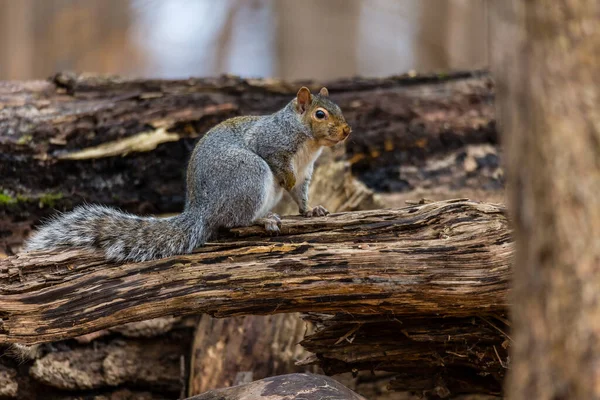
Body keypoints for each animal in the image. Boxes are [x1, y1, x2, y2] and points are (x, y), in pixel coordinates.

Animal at [23, 85, 352, 262]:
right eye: (320, 114)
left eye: (338, 107)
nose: (348, 131)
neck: (308, 144)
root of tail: (200, 210)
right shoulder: (271, 145)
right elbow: (280, 167)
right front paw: (287, 183)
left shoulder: (306, 170)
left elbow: (301, 193)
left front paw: (312, 210)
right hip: (248, 175)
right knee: (232, 221)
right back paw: (263, 219)